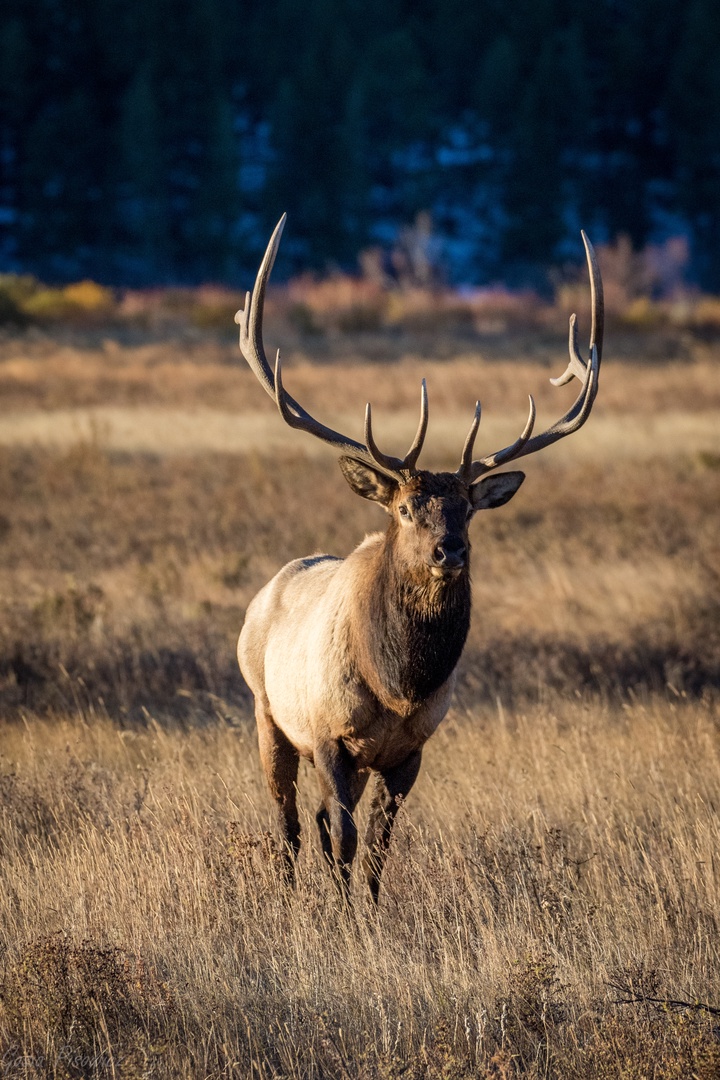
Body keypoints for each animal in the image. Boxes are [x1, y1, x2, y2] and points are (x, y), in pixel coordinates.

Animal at [236, 215, 603, 902]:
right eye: (406, 508)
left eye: (468, 510)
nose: (448, 549)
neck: (399, 685)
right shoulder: (328, 733)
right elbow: (345, 837)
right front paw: (344, 915)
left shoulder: (411, 749)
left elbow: (377, 845)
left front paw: (369, 909)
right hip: (267, 713)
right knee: (290, 823)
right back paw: (290, 892)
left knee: (316, 821)